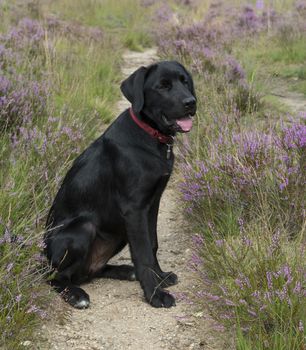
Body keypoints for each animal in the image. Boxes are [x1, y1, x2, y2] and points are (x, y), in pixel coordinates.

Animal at [44, 60, 197, 308]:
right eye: (162, 86)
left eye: (185, 82)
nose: (191, 103)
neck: (151, 137)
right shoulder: (134, 209)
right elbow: (143, 254)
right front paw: (155, 294)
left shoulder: (152, 204)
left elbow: (152, 244)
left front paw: (160, 277)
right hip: (84, 228)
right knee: (56, 276)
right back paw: (76, 295)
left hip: (119, 233)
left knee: (90, 272)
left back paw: (126, 271)